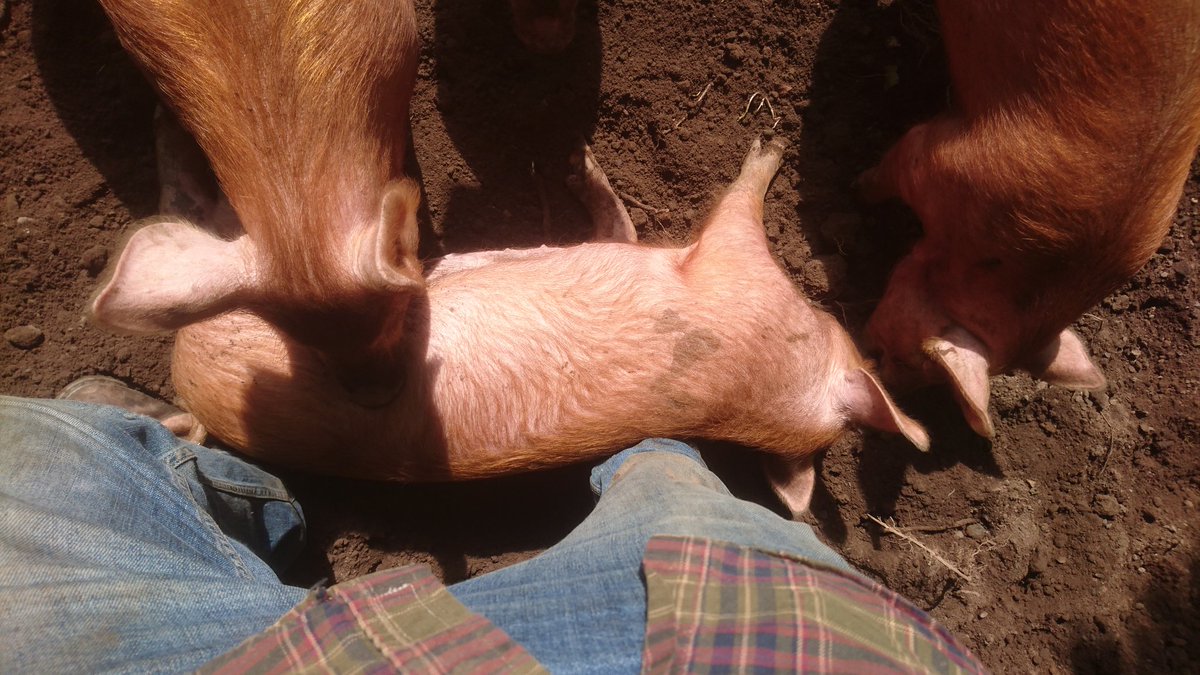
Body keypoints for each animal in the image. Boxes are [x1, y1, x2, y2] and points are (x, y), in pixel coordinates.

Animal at [172, 136, 929, 515]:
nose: (879, 351)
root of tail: (186, 380)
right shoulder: (723, 266)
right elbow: (657, 221)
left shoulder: (734, 274)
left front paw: (766, 146)